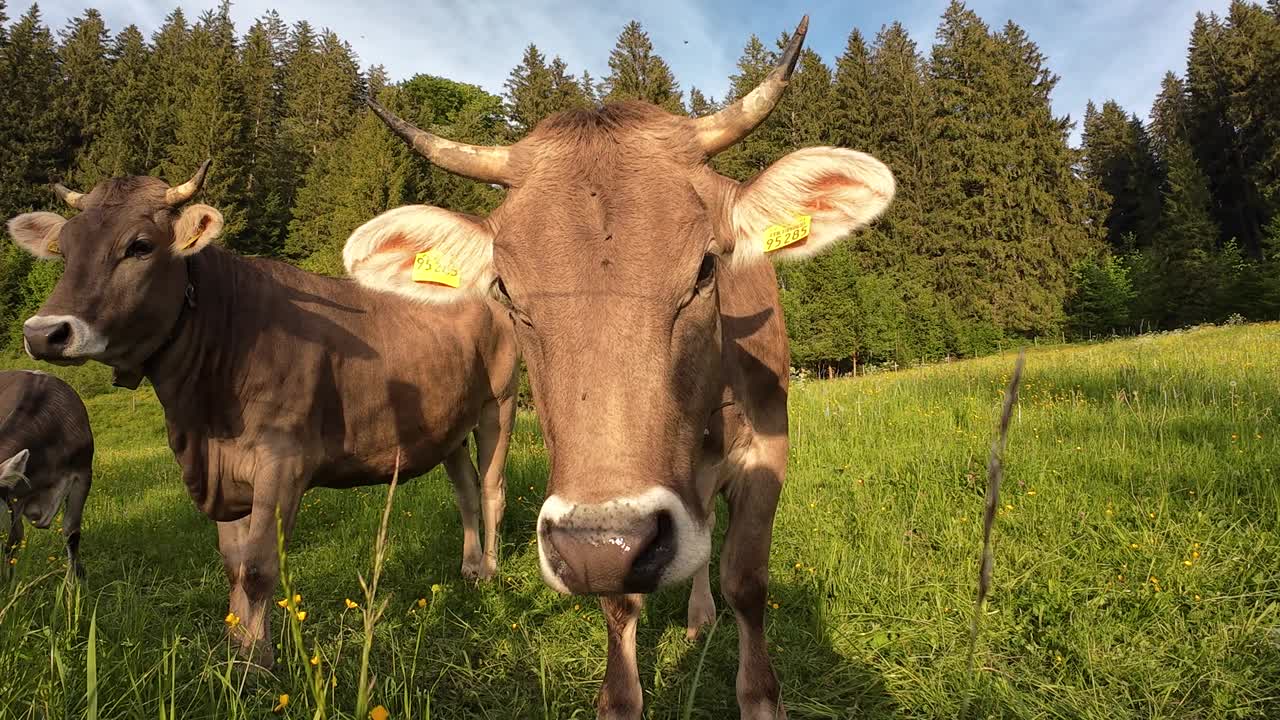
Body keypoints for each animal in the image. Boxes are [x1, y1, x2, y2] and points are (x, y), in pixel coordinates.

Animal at [343, 18, 890, 717]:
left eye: (706, 268)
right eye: (506, 291)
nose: (603, 544)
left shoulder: (771, 443)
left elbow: (746, 579)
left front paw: (761, 696)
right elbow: (620, 603)